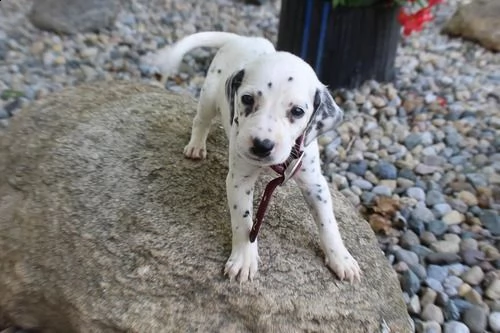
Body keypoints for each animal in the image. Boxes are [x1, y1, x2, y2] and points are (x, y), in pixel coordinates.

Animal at [145, 31, 360, 282]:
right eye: (247, 99)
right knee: (201, 121)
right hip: (209, 96)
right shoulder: (239, 180)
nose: (262, 146)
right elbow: (244, 220)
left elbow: (328, 222)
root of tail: (241, 38)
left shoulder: (314, 182)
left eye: (297, 111)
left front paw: (341, 258)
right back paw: (196, 146)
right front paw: (244, 258)